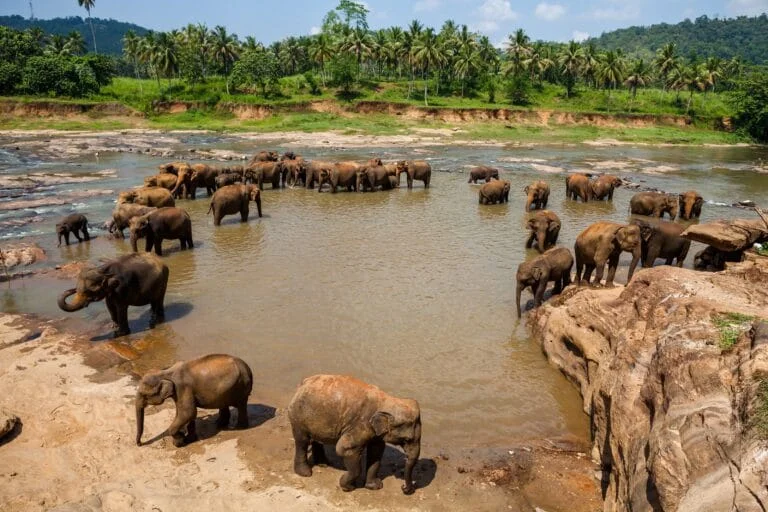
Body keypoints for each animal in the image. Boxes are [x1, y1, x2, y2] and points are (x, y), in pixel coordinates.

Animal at [288, 374, 421, 495]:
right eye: (407, 439)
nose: (404, 488)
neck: (387, 399)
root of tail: (301, 384)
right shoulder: (361, 424)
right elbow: (344, 448)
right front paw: (348, 487)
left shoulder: (374, 432)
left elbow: (376, 452)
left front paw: (374, 487)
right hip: (298, 416)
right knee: (302, 441)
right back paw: (305, 473)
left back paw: (323, 464)